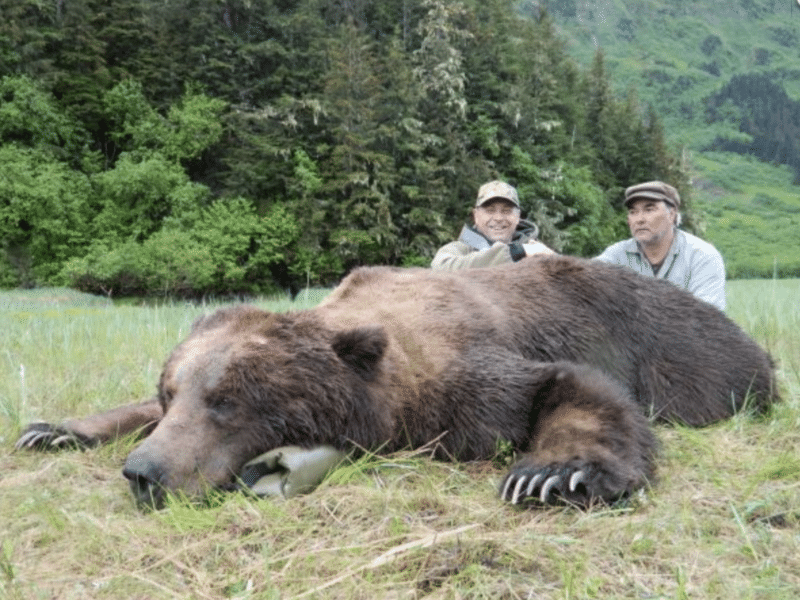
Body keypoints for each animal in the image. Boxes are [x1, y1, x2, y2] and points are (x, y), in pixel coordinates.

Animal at [14, 255, 776, 508]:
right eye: (174, 393)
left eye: (227, 403)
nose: (144, 472)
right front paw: (52, 428)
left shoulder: (459, 378)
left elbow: (566, 388)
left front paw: (552, 473)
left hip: (692, 350)